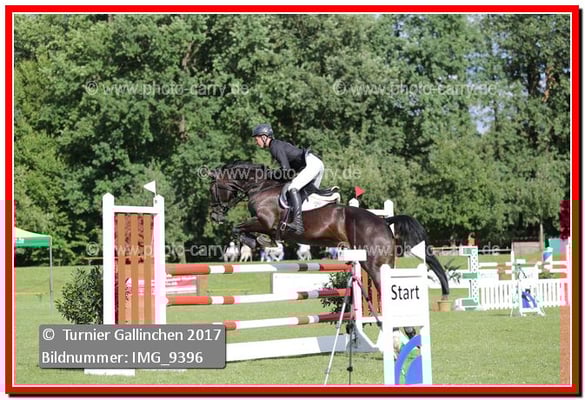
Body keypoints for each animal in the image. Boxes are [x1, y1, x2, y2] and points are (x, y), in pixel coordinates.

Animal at [208, 161, 450, 301]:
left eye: (214, 189)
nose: (214, 216)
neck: (262, 187)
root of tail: (384, 222)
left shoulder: (265, 222)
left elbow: (238, 227)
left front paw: (258, 241)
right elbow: (240, 229)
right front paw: (260, 242)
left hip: (374, 264)